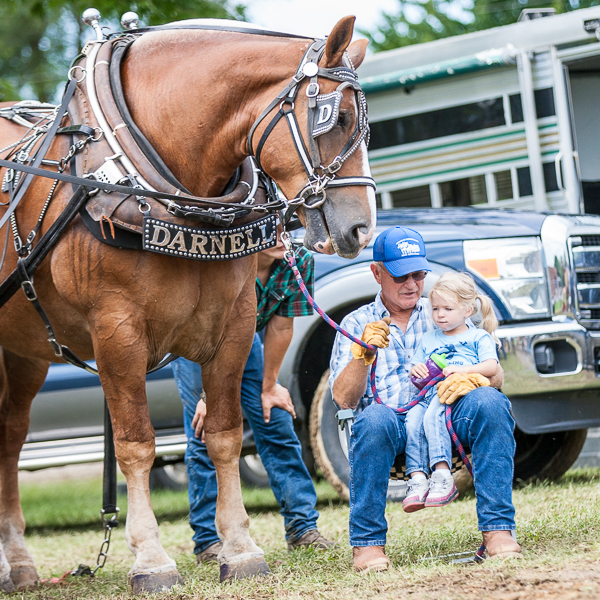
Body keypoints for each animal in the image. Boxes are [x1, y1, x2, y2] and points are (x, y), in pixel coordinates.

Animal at [0, 14, 376, 596]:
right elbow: (136, 445)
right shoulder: (116, 332)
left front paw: (240, 549)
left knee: (10, 440)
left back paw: (17, 563)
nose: (361, 227)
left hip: (23, 354)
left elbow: (224, 435)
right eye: (333, 118)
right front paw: (151, 559)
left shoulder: (234, 325)